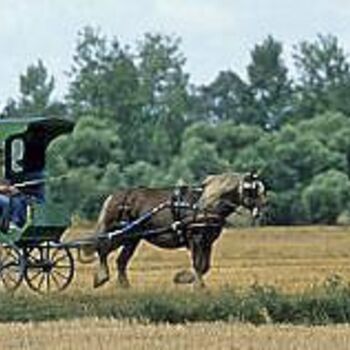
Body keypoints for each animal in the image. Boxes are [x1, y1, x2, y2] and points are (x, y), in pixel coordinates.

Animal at [84, 171, 266, 288]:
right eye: (252, 190)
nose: (262, 209)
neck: (205, 204)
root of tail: (116, 196)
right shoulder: (196, 239)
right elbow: (198, 264)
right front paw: (193, 283)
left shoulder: (207, 241)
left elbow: (205, 266)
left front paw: (185, 278)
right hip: (120, 234)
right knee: (102, 249)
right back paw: (101, 277)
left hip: (132, 238)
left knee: (120, 260)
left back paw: (124, 286)